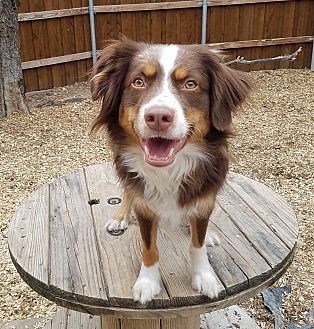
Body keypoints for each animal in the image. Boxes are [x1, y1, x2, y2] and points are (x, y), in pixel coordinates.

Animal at [89, 39, 251, 304]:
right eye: (138, 81)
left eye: (190, 84)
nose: (157, 117)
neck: (169, 170)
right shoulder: (144, 204)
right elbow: (148, 247)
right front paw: (147, 282)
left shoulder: (205, 199)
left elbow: (197, 243)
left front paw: (203, 276)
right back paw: (121, 217)